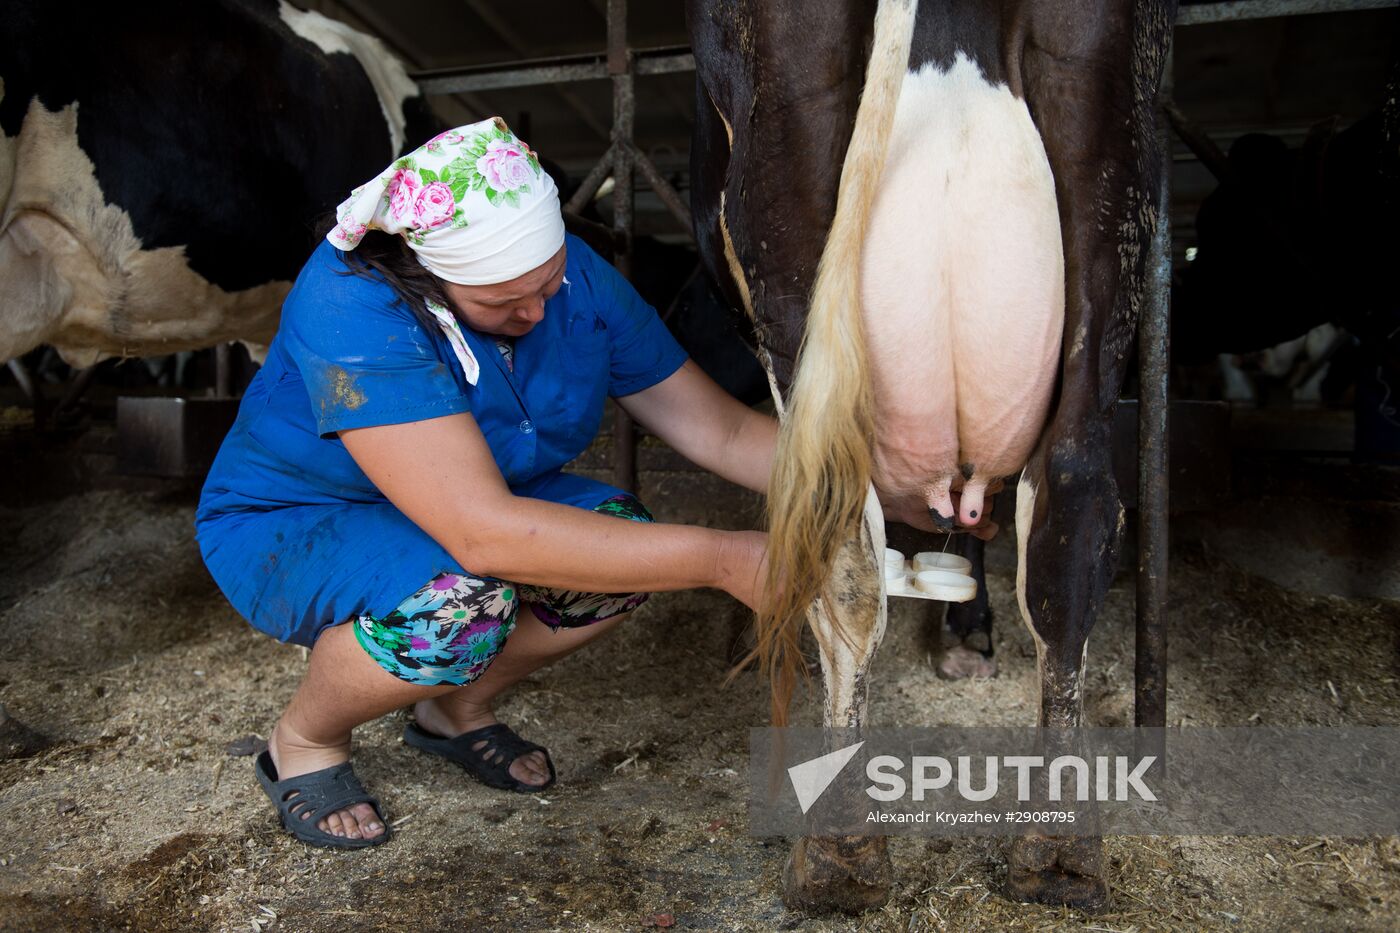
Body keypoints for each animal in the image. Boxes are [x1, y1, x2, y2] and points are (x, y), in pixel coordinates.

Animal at [688, 0, 1170, 907]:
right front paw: (967, 631)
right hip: (1111, 190)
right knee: (1073, 508)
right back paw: (1060, 848)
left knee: (845, 547)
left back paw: (838, 853)